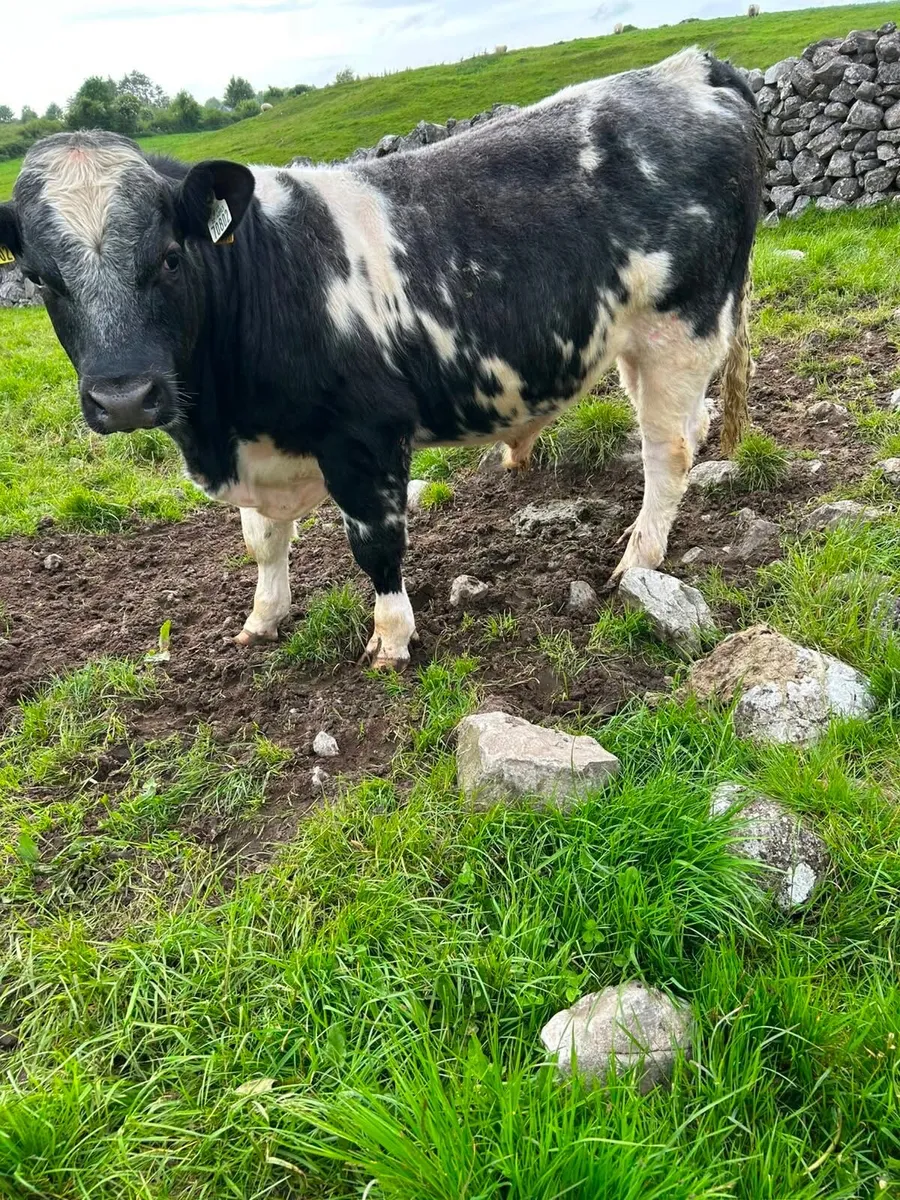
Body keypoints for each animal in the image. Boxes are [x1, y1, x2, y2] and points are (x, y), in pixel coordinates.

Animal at [0, 48, 763, 671]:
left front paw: (391, 639)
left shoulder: (364, 437)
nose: (124, 397)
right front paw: (262, 618)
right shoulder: (264, 451)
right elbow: (263, 540)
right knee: (690, 428)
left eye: (168, 256)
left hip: (681, 325)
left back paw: (637, 559)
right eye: (38, 277)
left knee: (667, 450)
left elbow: (375, 544)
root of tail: (687, 69)